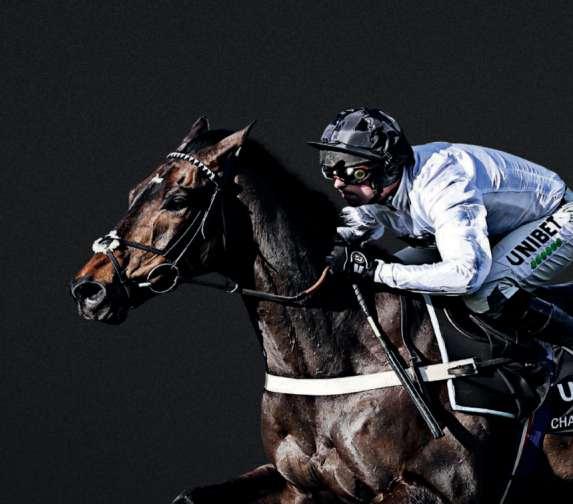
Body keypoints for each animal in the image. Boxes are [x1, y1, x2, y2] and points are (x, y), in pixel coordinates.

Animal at [71, 117, 572, 502]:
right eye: (135, 192)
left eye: (178, 199)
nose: (89, 288)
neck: (340, 354)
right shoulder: (298, 484)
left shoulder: (437, 487)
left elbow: (468, 270)